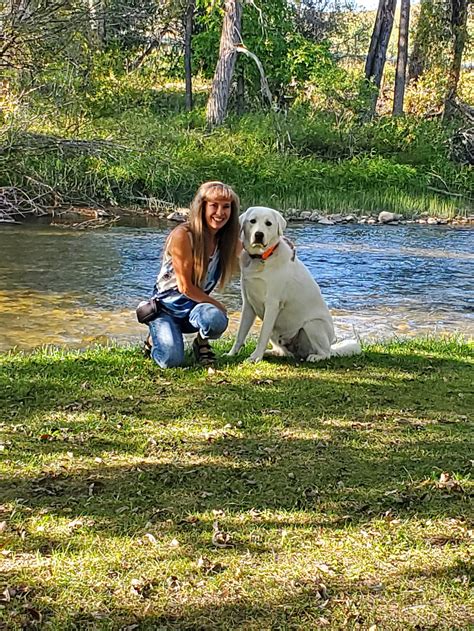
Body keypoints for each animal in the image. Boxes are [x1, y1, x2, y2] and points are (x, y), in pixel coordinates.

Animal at [228, 206, 362, 362]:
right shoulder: (248, 304)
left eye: (268, 223)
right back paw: (272, 352)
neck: (261, 258)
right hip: (278, 332)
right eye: (252, 221)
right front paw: (231, 354)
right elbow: (240, 334)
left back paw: (315, 357)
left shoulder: (272, 304)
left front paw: (255, 357)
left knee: (325, 353)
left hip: (313, 325)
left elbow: (262, 336)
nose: (259, 235)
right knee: (285, 352)